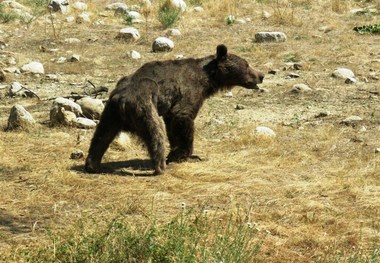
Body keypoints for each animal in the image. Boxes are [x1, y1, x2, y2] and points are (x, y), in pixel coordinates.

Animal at [85, 44, 264, 176]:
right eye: (247, 64)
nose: (261, 75)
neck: (208, 79)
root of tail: (121, 99)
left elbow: (172, 124)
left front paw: (176, 154)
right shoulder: (189, 90)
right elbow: (182, 116)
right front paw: (188, 155)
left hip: (111, 113)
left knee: (101, 136)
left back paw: (93, 165)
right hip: (145, 104)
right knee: (155, 132)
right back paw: (160, 167)